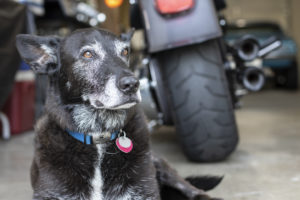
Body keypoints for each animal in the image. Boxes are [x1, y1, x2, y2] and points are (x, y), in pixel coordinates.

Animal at [17, 28, 223, 200]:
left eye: (124, 52)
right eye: (87, 54)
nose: (132, 84)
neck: (98, 135)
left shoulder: (144, 192)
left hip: (160, 165)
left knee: (194, 190)